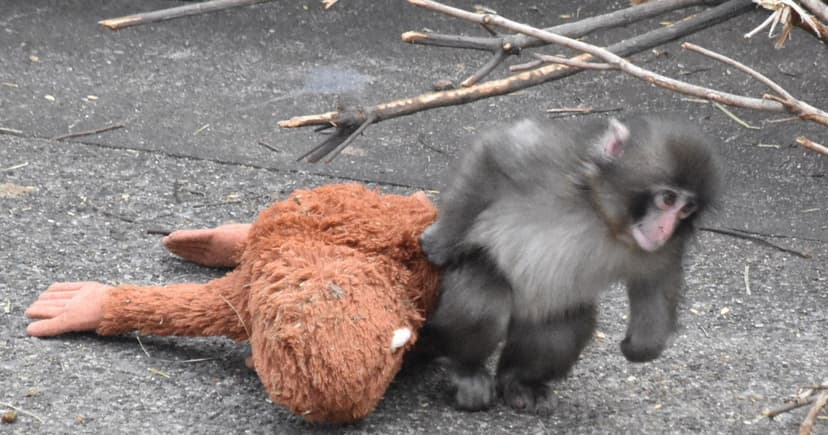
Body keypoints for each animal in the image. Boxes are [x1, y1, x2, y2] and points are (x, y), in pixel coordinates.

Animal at [418, 116, 719, 413]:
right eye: (668, 199)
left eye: (686, 209)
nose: (665, 229)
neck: (604, 218)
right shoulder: (554, 161)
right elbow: (495, 154)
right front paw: (441, 241)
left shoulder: (664, 249)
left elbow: (656, 281)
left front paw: (642, 346)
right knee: (483, 301)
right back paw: (466, 370)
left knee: (564, 326)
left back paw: (520, 382)